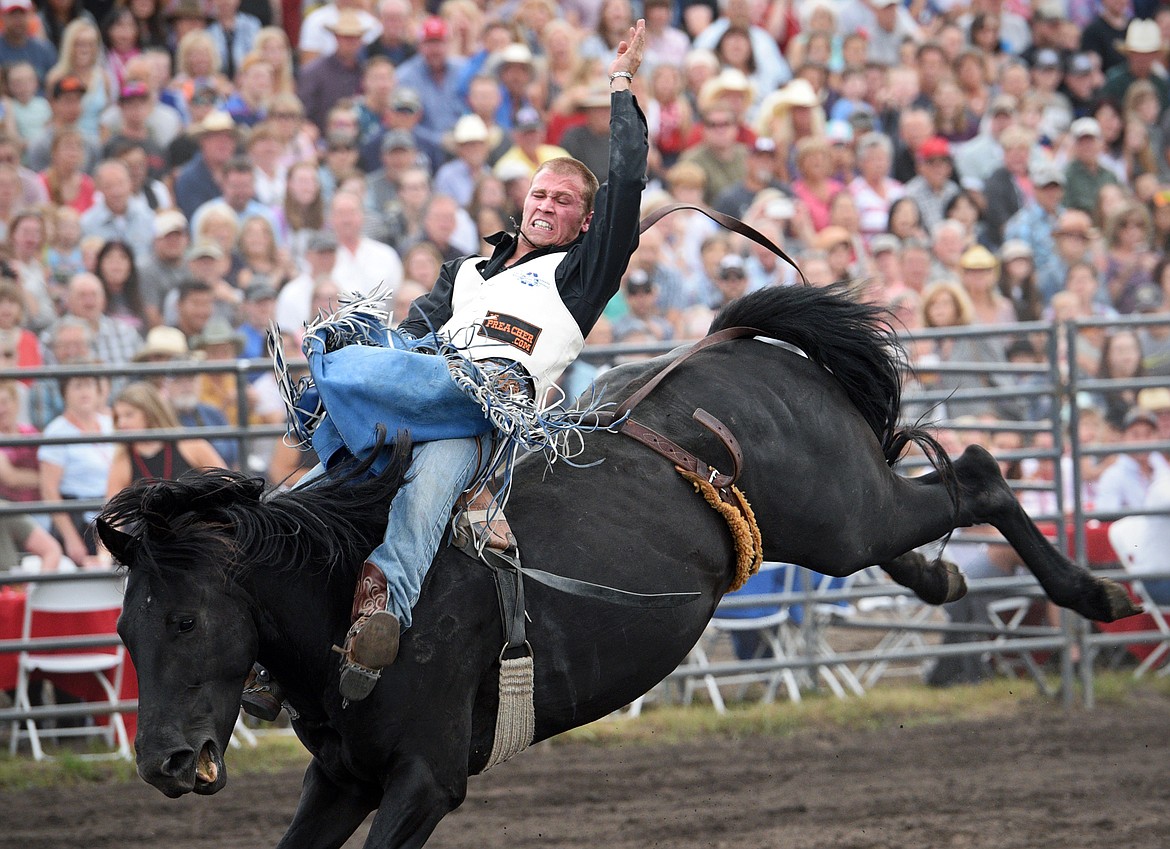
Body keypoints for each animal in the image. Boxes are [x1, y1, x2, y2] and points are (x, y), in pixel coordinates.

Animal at [95, 287, 1137, 849]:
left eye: (184, 618)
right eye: (125, 630)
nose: (162, 761)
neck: (350, 589)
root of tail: (734, 342)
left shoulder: (425, 778)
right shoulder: (342, 779)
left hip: (848, 514)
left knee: (980, 472)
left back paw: (1098, 592)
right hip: (834, 527)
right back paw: (945, 583)